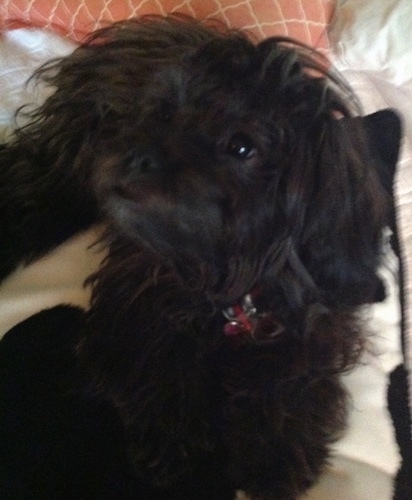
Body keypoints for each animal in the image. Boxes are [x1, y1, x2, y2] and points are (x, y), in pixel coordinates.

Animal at [0, 13, 400, 498]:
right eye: (162, 113)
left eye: (241, 146)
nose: (137, 153)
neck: (229, 265)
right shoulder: (141, 290)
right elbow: (162, 361)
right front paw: (187, 457)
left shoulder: (317, 314)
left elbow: (292, 371)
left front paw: (276, 446)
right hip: (62, 169)